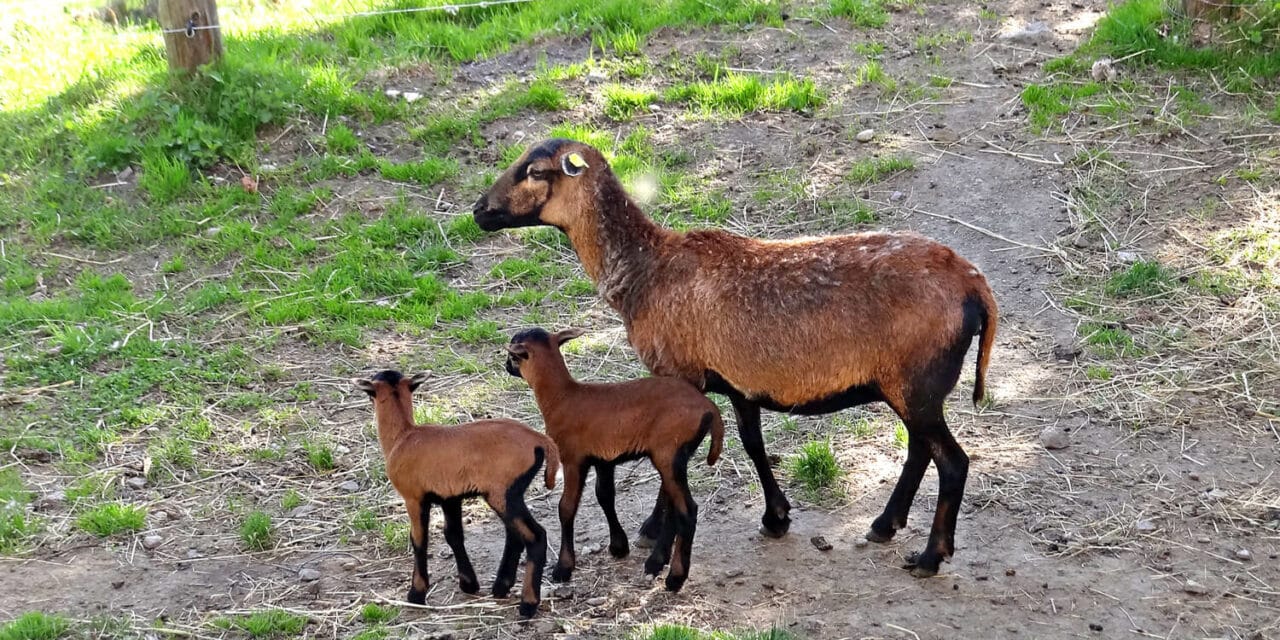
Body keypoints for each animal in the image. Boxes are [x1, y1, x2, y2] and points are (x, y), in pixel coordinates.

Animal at [353, 373, 558, 616]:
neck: (403, 436)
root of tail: (540, 440)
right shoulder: (449, 497)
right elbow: (453, 535)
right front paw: (469, 584)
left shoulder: (414, 497)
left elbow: (419, 540)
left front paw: (416, 594)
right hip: (508, 493)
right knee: (516, 535)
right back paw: (501, 587)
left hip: (502, 492)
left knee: (535, 536)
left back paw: (527, 604)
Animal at [504, 327, 727, 591]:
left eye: (514, 355)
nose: (506, 366)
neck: (562, 397)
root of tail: (710, 409)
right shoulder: (604, 460)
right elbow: (605, 496)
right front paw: (618, 546)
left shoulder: (573, 459)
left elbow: (566, 508)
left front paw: (563, 567)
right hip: (675, 458)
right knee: (674, 506)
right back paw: (658, 562)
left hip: (669, 453)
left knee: (688, 510)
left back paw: (675, 578)